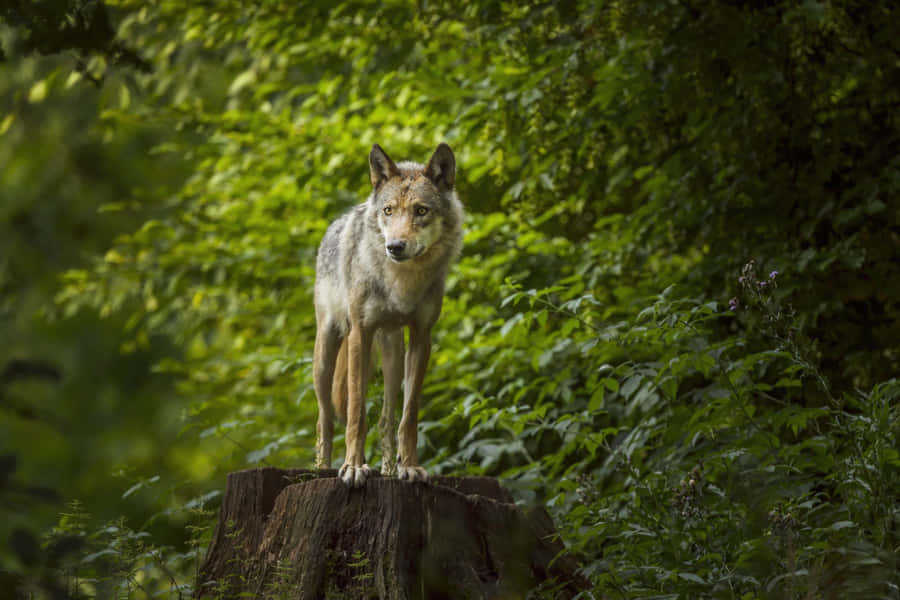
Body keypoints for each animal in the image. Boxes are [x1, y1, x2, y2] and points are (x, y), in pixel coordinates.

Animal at [313, 143, 463, 487]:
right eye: (388, 211)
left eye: (421, 211)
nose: (394, 246)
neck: (402, 283)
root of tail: (336, 224)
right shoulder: (360, 333)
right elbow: (356, 413)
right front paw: (353, 468)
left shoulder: (422, 337)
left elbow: (408, 416)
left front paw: (409, 467)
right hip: (328, 354)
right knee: (325, 418)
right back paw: (323, 469)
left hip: (392, 356)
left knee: (385, 418)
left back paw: (389, 471)